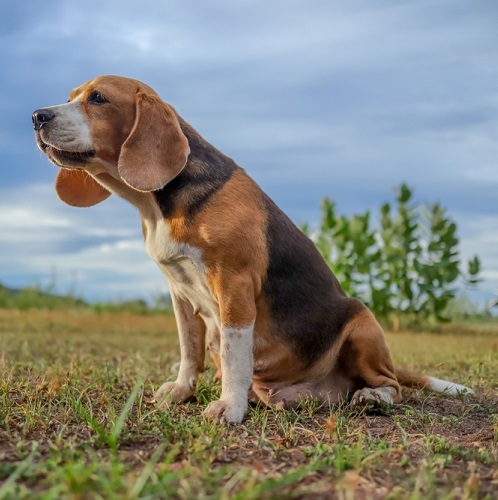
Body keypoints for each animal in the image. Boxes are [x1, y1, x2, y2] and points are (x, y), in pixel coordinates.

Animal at [32, 77, 474, 422]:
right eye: (72, 96)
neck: (156, 206)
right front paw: (182, 391)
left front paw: (229, 407)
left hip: (362, 321)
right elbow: (189, 351)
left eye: (98, 98)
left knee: (393, 385)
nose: (37, 116)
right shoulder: (180, 294)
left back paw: (371, 396)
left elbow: (234, 353)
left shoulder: (234, 285)